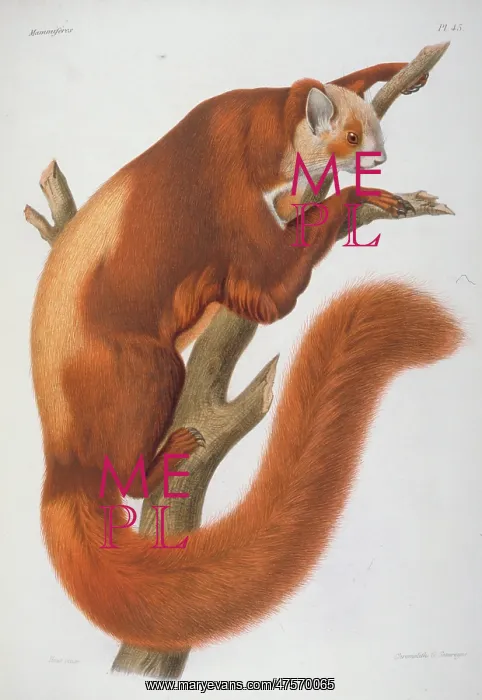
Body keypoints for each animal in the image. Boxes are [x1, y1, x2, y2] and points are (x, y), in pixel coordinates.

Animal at [30, 63, 462, 653]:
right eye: (353, 137)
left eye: (375, 127)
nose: (381, 158)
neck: (250, 131)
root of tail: (60, 460)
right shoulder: (231, 194)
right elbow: (272, 289)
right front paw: (370, 194)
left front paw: (391, 72)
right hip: (146, 368)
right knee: (126, 465)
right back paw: (167, 456)